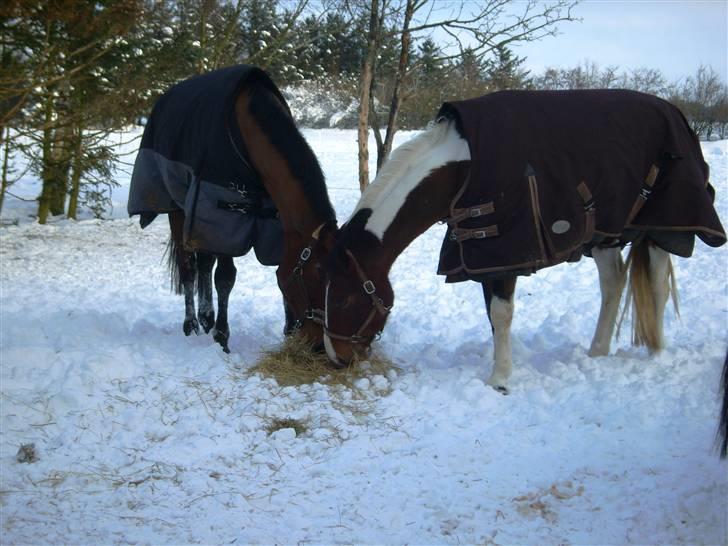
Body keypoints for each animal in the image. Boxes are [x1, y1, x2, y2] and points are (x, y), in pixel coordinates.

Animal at [127, 66, 336, 350]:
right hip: (179, 210)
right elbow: (225, 277)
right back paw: (192, 324)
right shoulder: (225, 215)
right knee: (189, 267)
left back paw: (206, 316)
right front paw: (222, 337)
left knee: (204, 262)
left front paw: (290, 329)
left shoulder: (271, 219)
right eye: (318, 275)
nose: (319, 345)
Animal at [326, 90, 728, 392]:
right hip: (605, 234)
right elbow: (492, 314)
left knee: (657, 285)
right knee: (613, 284)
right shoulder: (483, 255)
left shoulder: (506, 252)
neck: (464, 164)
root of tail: (675, 113)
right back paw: (597, 351)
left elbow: (501, 314)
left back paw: (657, 354)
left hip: (664, 226)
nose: (335, 356)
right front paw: (499, 366)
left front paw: (500, 380)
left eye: (345, 297)